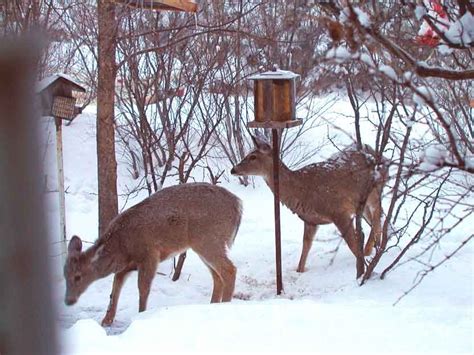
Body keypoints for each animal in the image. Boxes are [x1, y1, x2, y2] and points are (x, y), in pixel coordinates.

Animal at [65, 184, 243, 328]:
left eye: (78, 276)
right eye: (64, 275)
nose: (68, 300)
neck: (121, 247)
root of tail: (238, 205)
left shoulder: (149, 254)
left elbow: (143, 288)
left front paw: (141, 315)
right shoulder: (125, 267)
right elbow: (115, 288)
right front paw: (106, 320)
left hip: (209, 240)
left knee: (229, 270)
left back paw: (225, 306)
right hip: (203, 245)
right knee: (217, 276)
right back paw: (212, 306)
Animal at [231, 135, 386, 280]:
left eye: (252, 156)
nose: (233, 169)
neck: (303, 191)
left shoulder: (338, 211)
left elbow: (352, 243)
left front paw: (362, 269)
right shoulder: (310, 220)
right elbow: (306, 246)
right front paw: (299, 271)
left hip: (373, 189)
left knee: (378, 215)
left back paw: (369, 250)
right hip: (363, 203)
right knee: (376, 218)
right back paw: (375, 246)